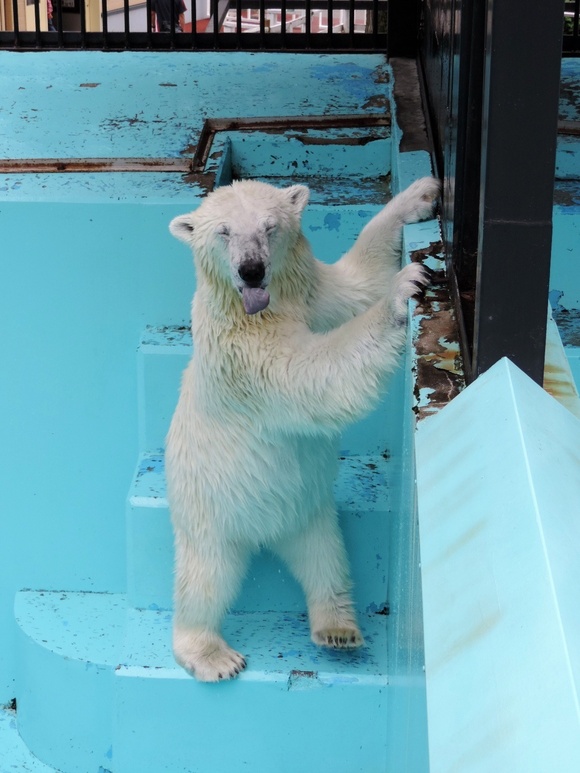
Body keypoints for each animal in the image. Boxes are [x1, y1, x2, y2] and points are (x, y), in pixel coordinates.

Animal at [165, 176, 438, 680]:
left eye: (269, 227)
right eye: (224, 233)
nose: (252, 271)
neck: (260, 306)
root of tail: (267, 533)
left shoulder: (310, 292)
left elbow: (356, 281)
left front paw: (420, 196)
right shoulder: (242, 352)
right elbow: (311, 373)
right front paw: (403, 288)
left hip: (312, 513)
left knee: (326, 561)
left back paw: (338, 629)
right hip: (208, 511)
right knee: (204, 579)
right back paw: (212, 654)